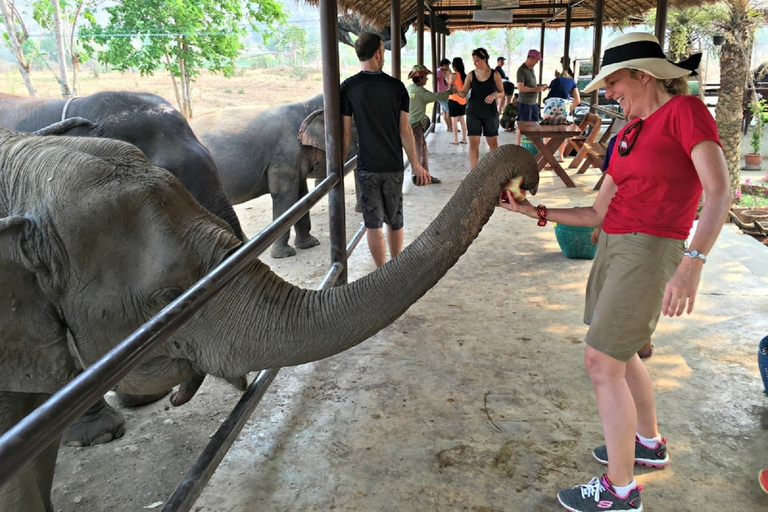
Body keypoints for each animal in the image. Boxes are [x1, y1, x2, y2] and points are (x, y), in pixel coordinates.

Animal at [192, 93, 360, 258]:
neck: (306, 105)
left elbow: (301, 195)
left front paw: (310, 244)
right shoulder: (284, 155)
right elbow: (284, 195)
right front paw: (284, 254)